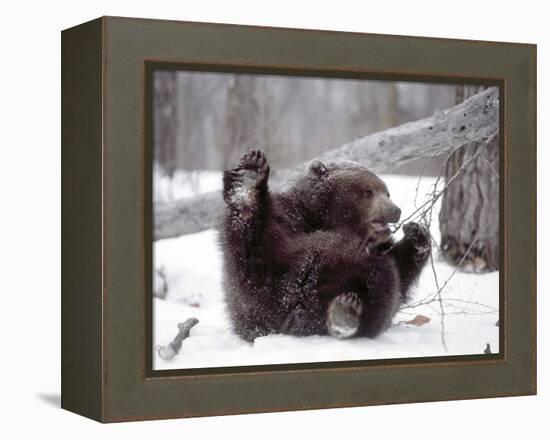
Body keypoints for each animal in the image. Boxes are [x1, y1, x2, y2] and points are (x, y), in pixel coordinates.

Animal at [220, 150, 432, 342]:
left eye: (387, 192)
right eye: (367, 192)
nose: (395, 210)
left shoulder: (378, 247)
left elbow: (399, 276)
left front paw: (417, 236)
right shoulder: (287, 220)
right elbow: (252, 261)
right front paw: (248, 180)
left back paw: (344, 313)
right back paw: (249, 183)